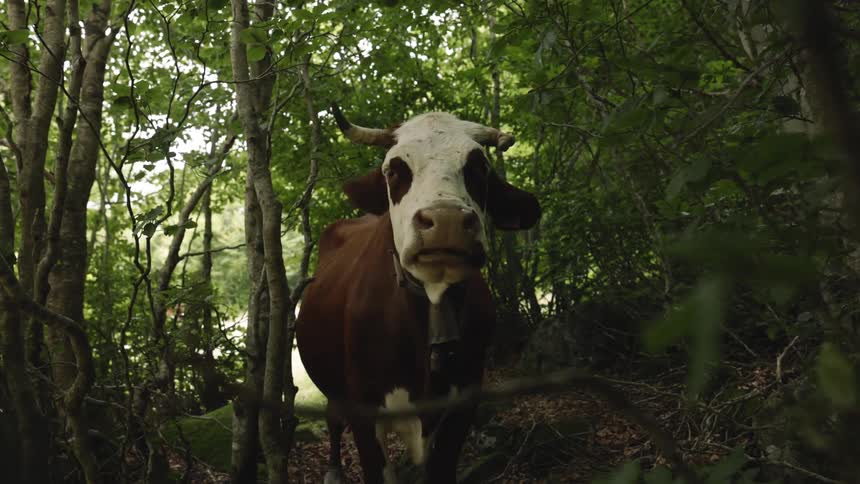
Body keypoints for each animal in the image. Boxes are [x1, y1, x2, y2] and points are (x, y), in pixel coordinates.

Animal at [296, 105, 541, 484]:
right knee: (333, 416)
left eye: (479, 168)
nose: (446, 221)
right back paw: (334, 470)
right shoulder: (364, 412)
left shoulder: (463, 404)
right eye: (394, 169)